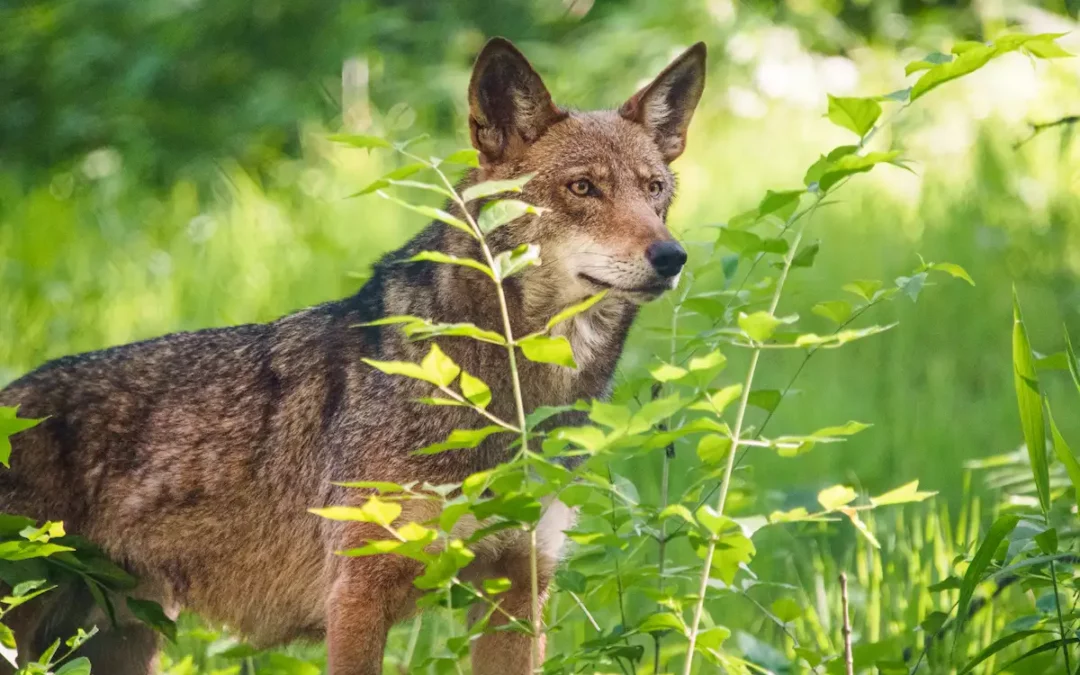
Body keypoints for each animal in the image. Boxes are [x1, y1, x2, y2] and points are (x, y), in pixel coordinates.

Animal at [0, 36, 708, 673]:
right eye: (583, 188)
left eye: (654, 190)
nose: (672, 256)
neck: (503, 391)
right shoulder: (360, 596)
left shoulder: (516, 588)